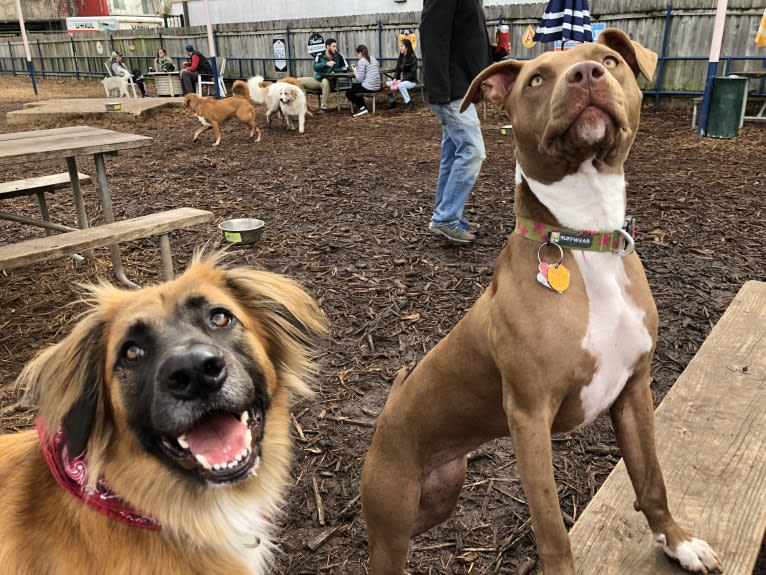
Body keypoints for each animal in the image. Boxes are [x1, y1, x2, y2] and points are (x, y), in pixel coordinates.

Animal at [364, 30, 724, 575]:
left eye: (609, 60)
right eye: (536, 79)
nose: (585, 74)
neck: (585, 238)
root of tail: (386, 415)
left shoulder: (634, 390)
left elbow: (651, 479)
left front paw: (677, 541)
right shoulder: (530, 417)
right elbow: (552, 529)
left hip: (438, 496)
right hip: (392, 521)